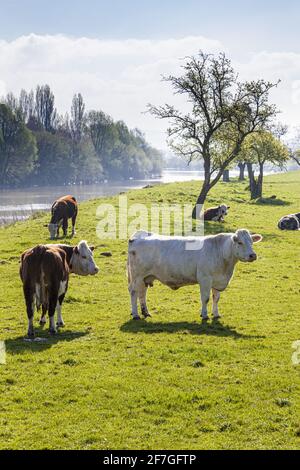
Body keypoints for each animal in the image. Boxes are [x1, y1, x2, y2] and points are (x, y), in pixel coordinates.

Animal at [126, 229, 262, 322]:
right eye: (239, 242)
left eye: (251, 242)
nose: (253, 255)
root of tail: (139, 235)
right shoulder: (205, 279)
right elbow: (206, 298)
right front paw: (204, 315)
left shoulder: (218, 280)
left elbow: (216, 298)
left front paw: (216, 314)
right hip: (137, 276)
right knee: (133, 292)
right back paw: (136, 314)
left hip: (145, 277)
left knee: (142, 293)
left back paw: (145, 312)